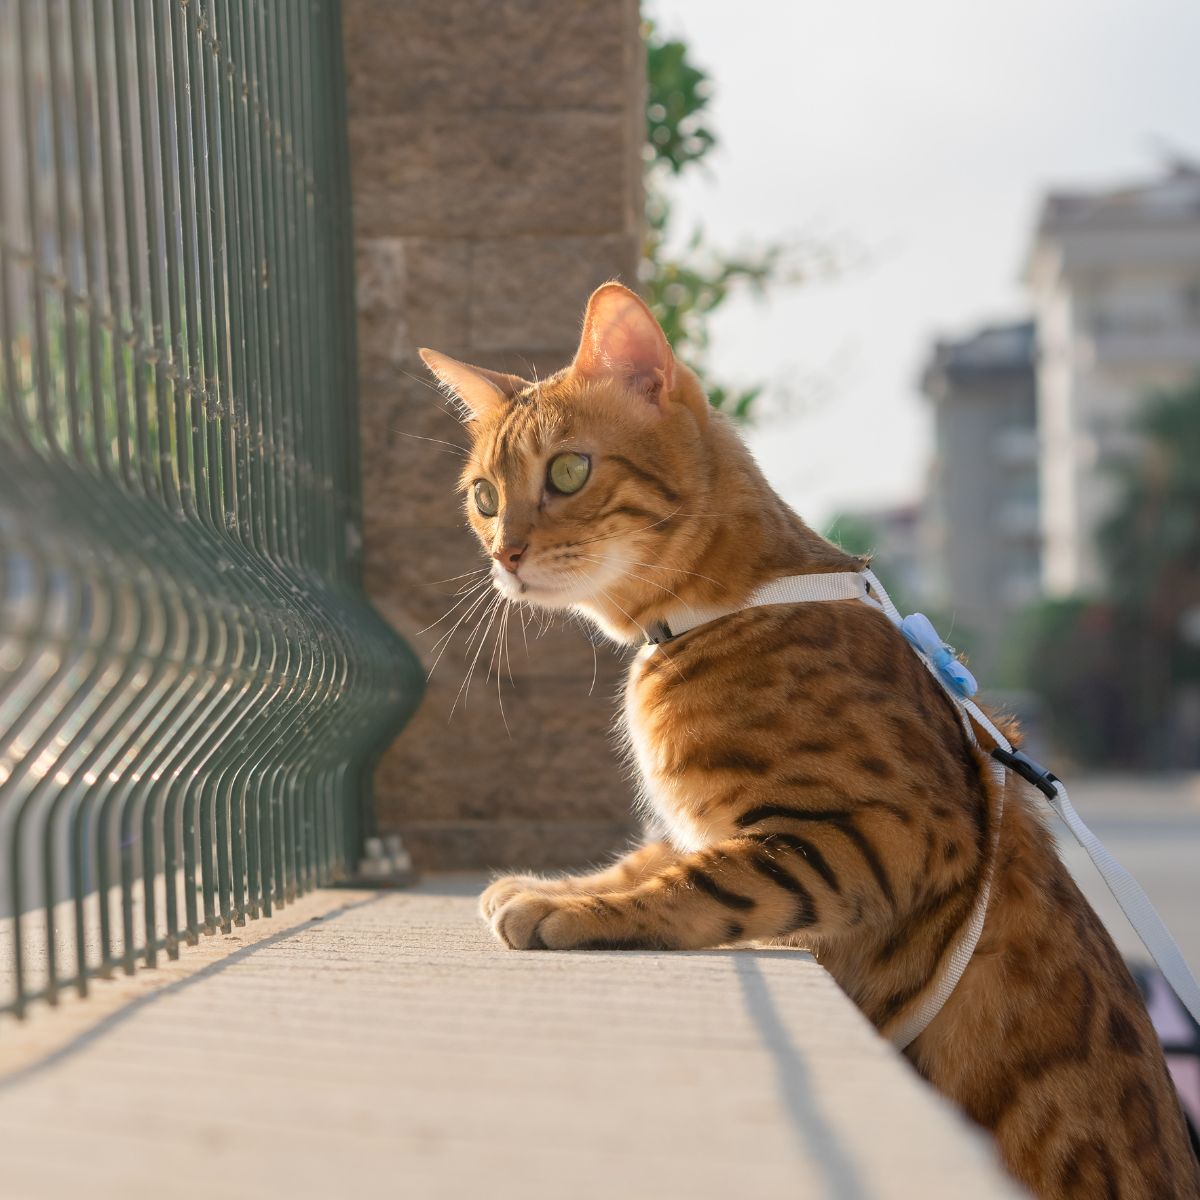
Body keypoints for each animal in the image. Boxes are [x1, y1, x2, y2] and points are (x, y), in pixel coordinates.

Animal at [420, 283, 1200, 1200]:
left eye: (569, 471)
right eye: (483, 497)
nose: (504, 555)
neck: (717, 609)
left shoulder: (889, 833)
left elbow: (703, 882)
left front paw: (569, 910)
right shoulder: (724, 823)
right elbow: (659, 852)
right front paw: (556, 884)